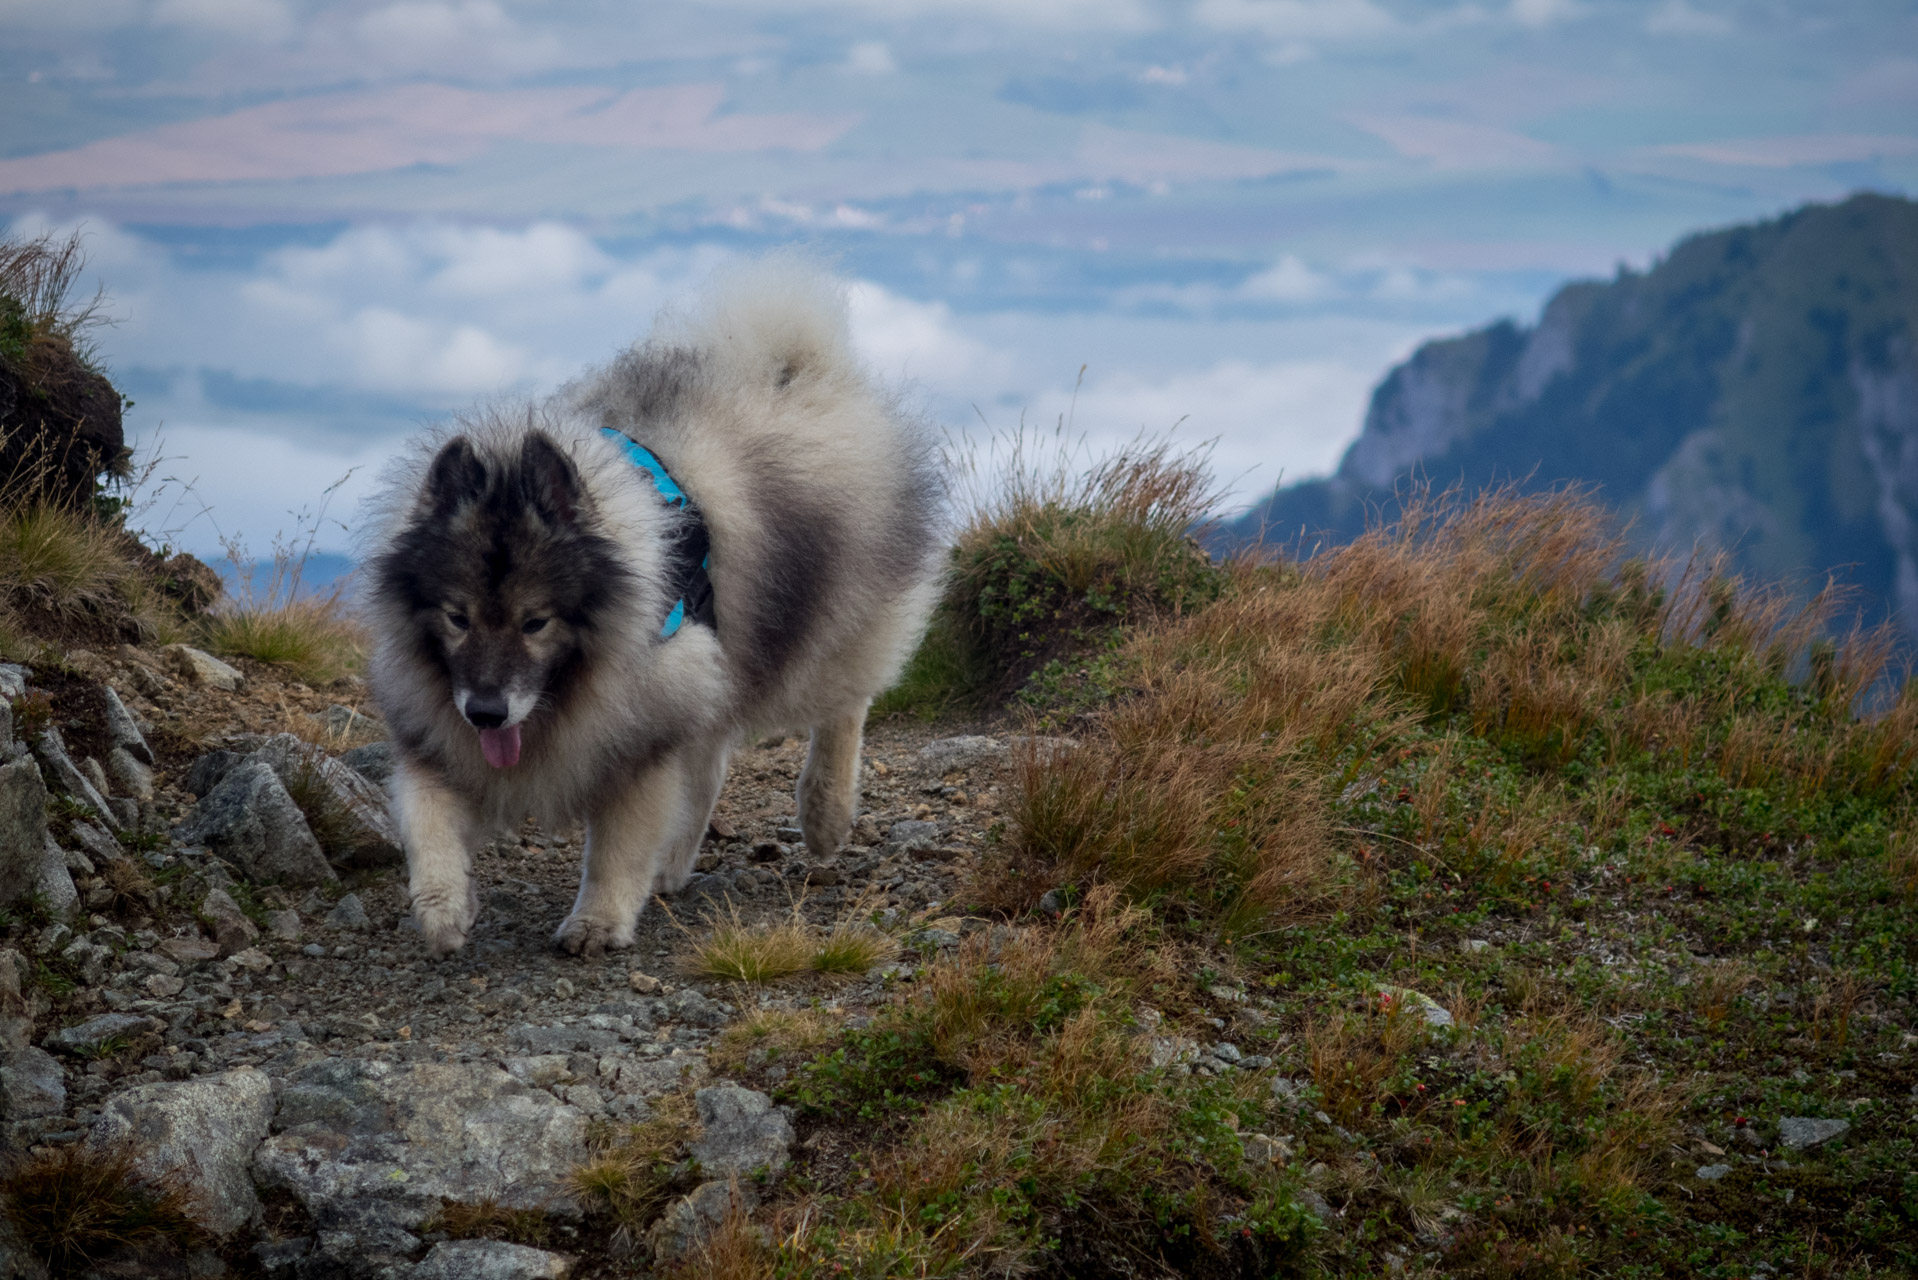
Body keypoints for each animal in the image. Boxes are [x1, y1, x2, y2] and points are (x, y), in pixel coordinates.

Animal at [360, 260, 943, 955]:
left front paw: (596, 923)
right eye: (458, 617)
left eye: (536, 622)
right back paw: (675, 863)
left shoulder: (642, 735)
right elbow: (428, 823)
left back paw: (825, 816)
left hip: (819, 630)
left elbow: (616, 848)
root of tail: (795, 366)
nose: (486, 712)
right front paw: (443, 909)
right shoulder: (439, 736)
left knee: (843, 707)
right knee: (711, 767)